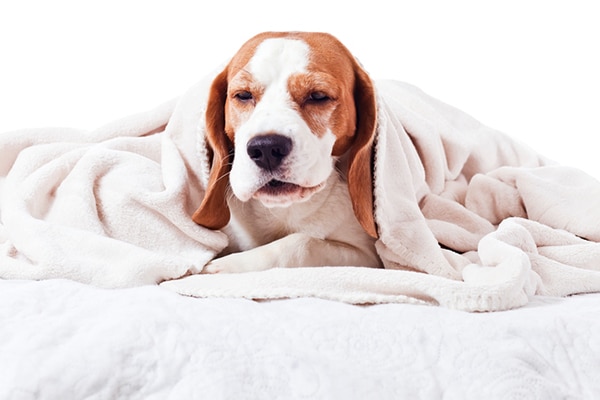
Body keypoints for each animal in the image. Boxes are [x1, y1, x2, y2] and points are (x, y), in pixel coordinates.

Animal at [193, 32, 384, 274]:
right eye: (243, 95)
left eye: (318, 96)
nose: (266, 148)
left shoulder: (369, 257)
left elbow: (301, 243)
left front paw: (229, 264)